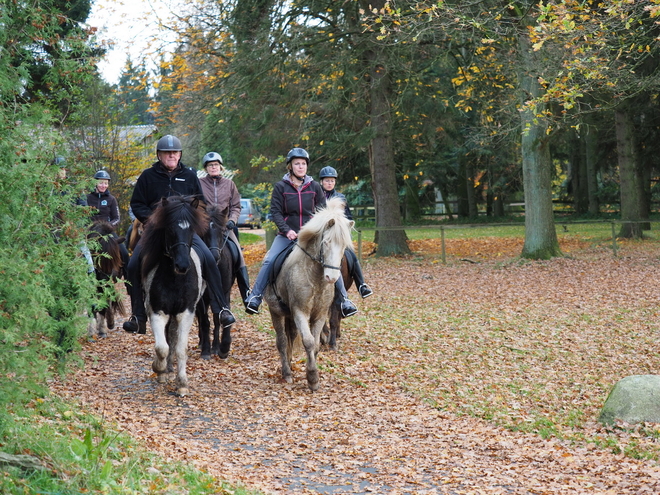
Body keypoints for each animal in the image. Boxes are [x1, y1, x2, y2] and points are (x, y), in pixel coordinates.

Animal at [141, 196, 208, 398]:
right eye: (170, 229)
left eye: (191, 230)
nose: (182, 265)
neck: (175, 280)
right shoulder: (157, 312)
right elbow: (162, 348)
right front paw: (159, 368)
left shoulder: (185, 313)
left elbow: (179, 348)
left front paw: (182, 384)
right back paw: (165, 370)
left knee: (172, 338)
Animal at [264, 198, 354, 392]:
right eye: (326, 242)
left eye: (344, 246)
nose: (332, 277)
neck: (315, 279)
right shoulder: (300, 312)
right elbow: (309, 341)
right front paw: (312, 377)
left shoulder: (319, 314)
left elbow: (316, 345)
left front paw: (313, 376)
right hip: (276, 312)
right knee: (282, 341)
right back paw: (286, 373)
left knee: (290, 337)